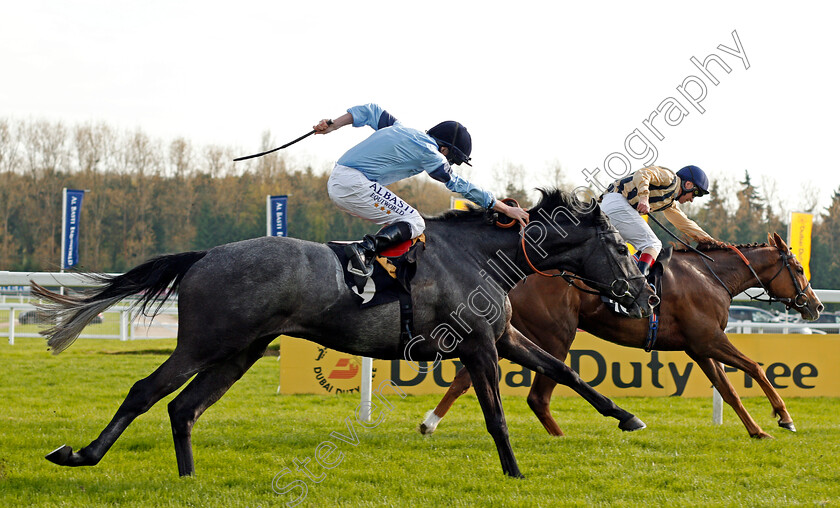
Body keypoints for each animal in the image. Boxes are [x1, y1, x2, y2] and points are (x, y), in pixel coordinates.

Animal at [32, 189, 652, 478]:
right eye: (620, 245)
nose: (643, 291)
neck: (481, 256)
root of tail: (204, 256)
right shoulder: (478, 346)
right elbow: (495, 413)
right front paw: (514, 469)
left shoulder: (501, 339)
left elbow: (564, 369)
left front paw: (627, 416)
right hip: (205, 343)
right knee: (147, 392)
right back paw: (81, 454)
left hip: (241, 352)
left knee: (184, 408)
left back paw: (187, 481)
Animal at [420, 233, 820, 436]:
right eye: (799, 268)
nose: (815, 306)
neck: (711, 277)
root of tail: (514, 274)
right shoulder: (709, 340)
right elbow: (755, 368)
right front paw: (783, 417)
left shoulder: (698, 347)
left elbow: (729, 390)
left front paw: (757, 430)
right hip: (556, 336)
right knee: (538, 396)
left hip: (515, 335)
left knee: (465, 378)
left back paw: (429, 423)